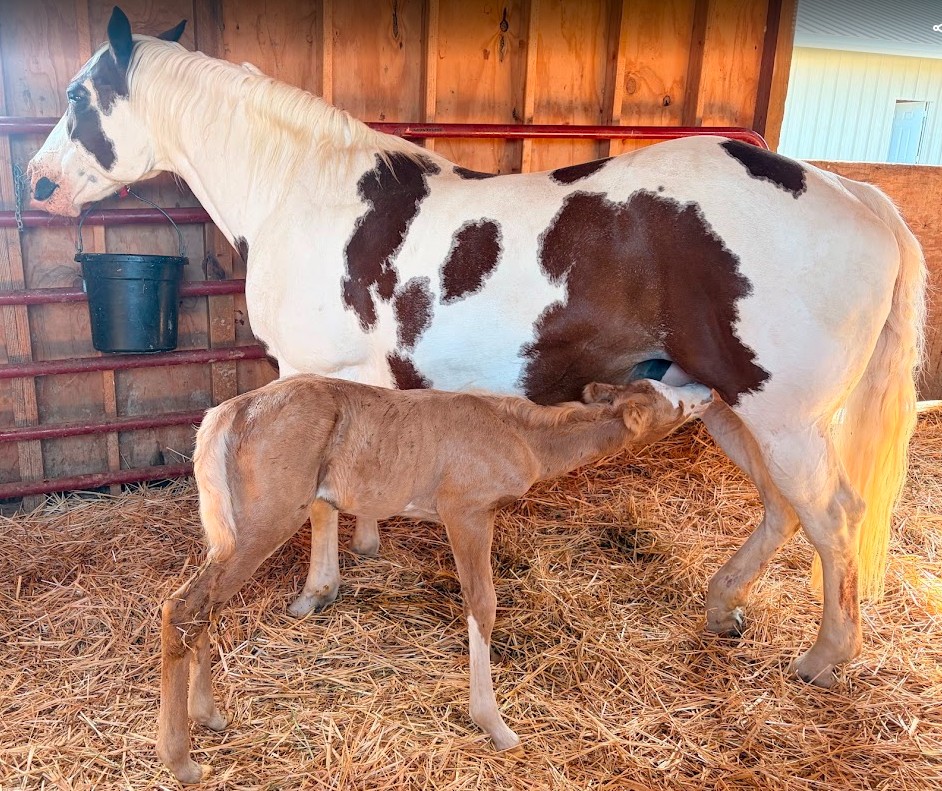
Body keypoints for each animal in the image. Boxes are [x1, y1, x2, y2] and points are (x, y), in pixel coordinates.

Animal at [28, 8, 926, 693]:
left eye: (77, 96)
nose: (36, 184)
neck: (306, 192)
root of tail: (860, 196)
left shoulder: (312, 374)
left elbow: (317, 501)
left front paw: (319, 591)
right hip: (730, 407)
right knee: (785, 510)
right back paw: (723, 606)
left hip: (783, 416)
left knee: (834, 517)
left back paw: (826, 657)